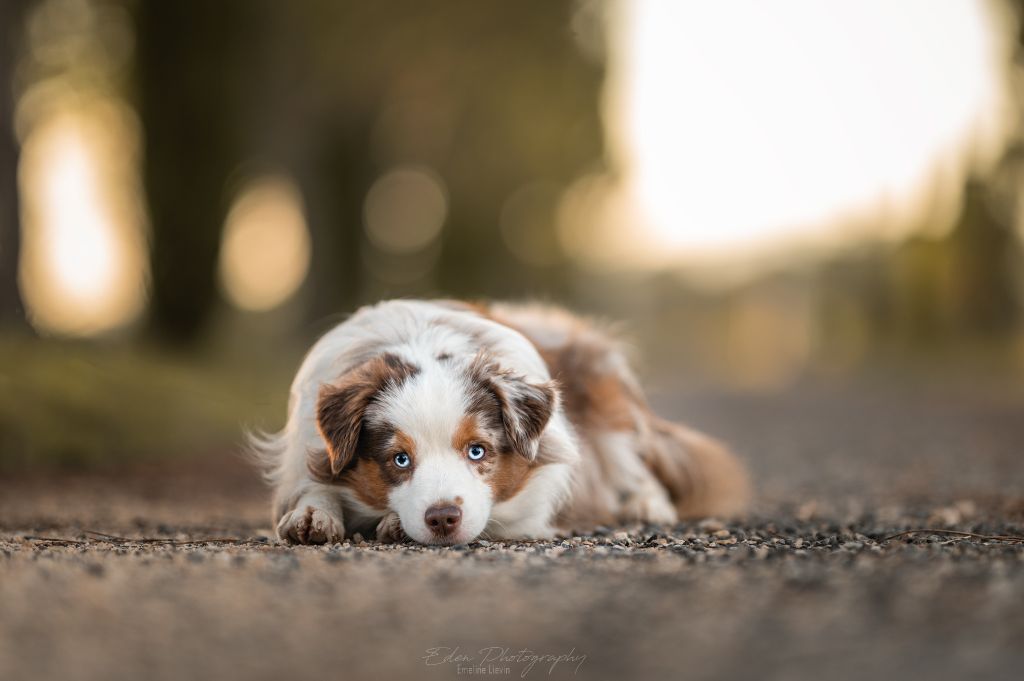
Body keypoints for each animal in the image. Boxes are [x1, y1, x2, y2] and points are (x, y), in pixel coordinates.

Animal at [251, 301, 749, 544]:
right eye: (399, 460)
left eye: (478, 451)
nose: (443, 518)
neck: (418, 340)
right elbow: (314, 486)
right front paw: (312, 514)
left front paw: (392, 524)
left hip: (612, 407)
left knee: (639, 467)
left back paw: (648, 505)